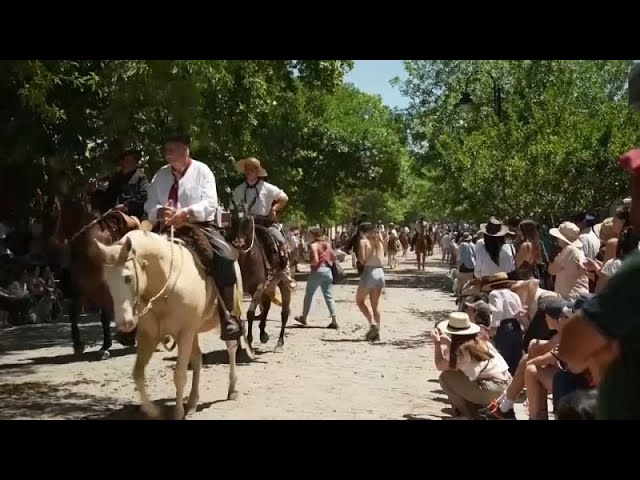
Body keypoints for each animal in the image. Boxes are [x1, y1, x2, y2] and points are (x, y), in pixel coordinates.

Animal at [42, 193, 139, 358]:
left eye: (52, 213)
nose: (49, 249)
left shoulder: (105, 287)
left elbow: (105, 315)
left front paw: (105, 347)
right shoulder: (82, 286)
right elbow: (74, 312)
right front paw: (78, 345)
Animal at [94, 231, 244, 418]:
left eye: (128, 278)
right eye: (107, 281)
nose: (125, 323)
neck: (168, 281)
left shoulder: (184, 332)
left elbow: (179, 375)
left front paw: (178, 412)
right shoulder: (149, 335)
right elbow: (137, 373)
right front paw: (153, 411)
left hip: (226, 316)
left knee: (231, 347)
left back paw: (232, 389)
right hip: (193, 332)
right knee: (197, 358)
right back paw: (192, 402)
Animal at [228, 208, 292, 354]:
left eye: (247, 221)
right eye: (233, 220)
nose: (239, 243)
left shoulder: (258, 287)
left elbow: (250, 314)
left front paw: (249, 342)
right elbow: (238, 315)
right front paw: (239, 347)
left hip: (283, 284)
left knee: (284, 312)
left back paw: (279, 343)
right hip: (267, 288)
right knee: (266, 307)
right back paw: (263, 334)